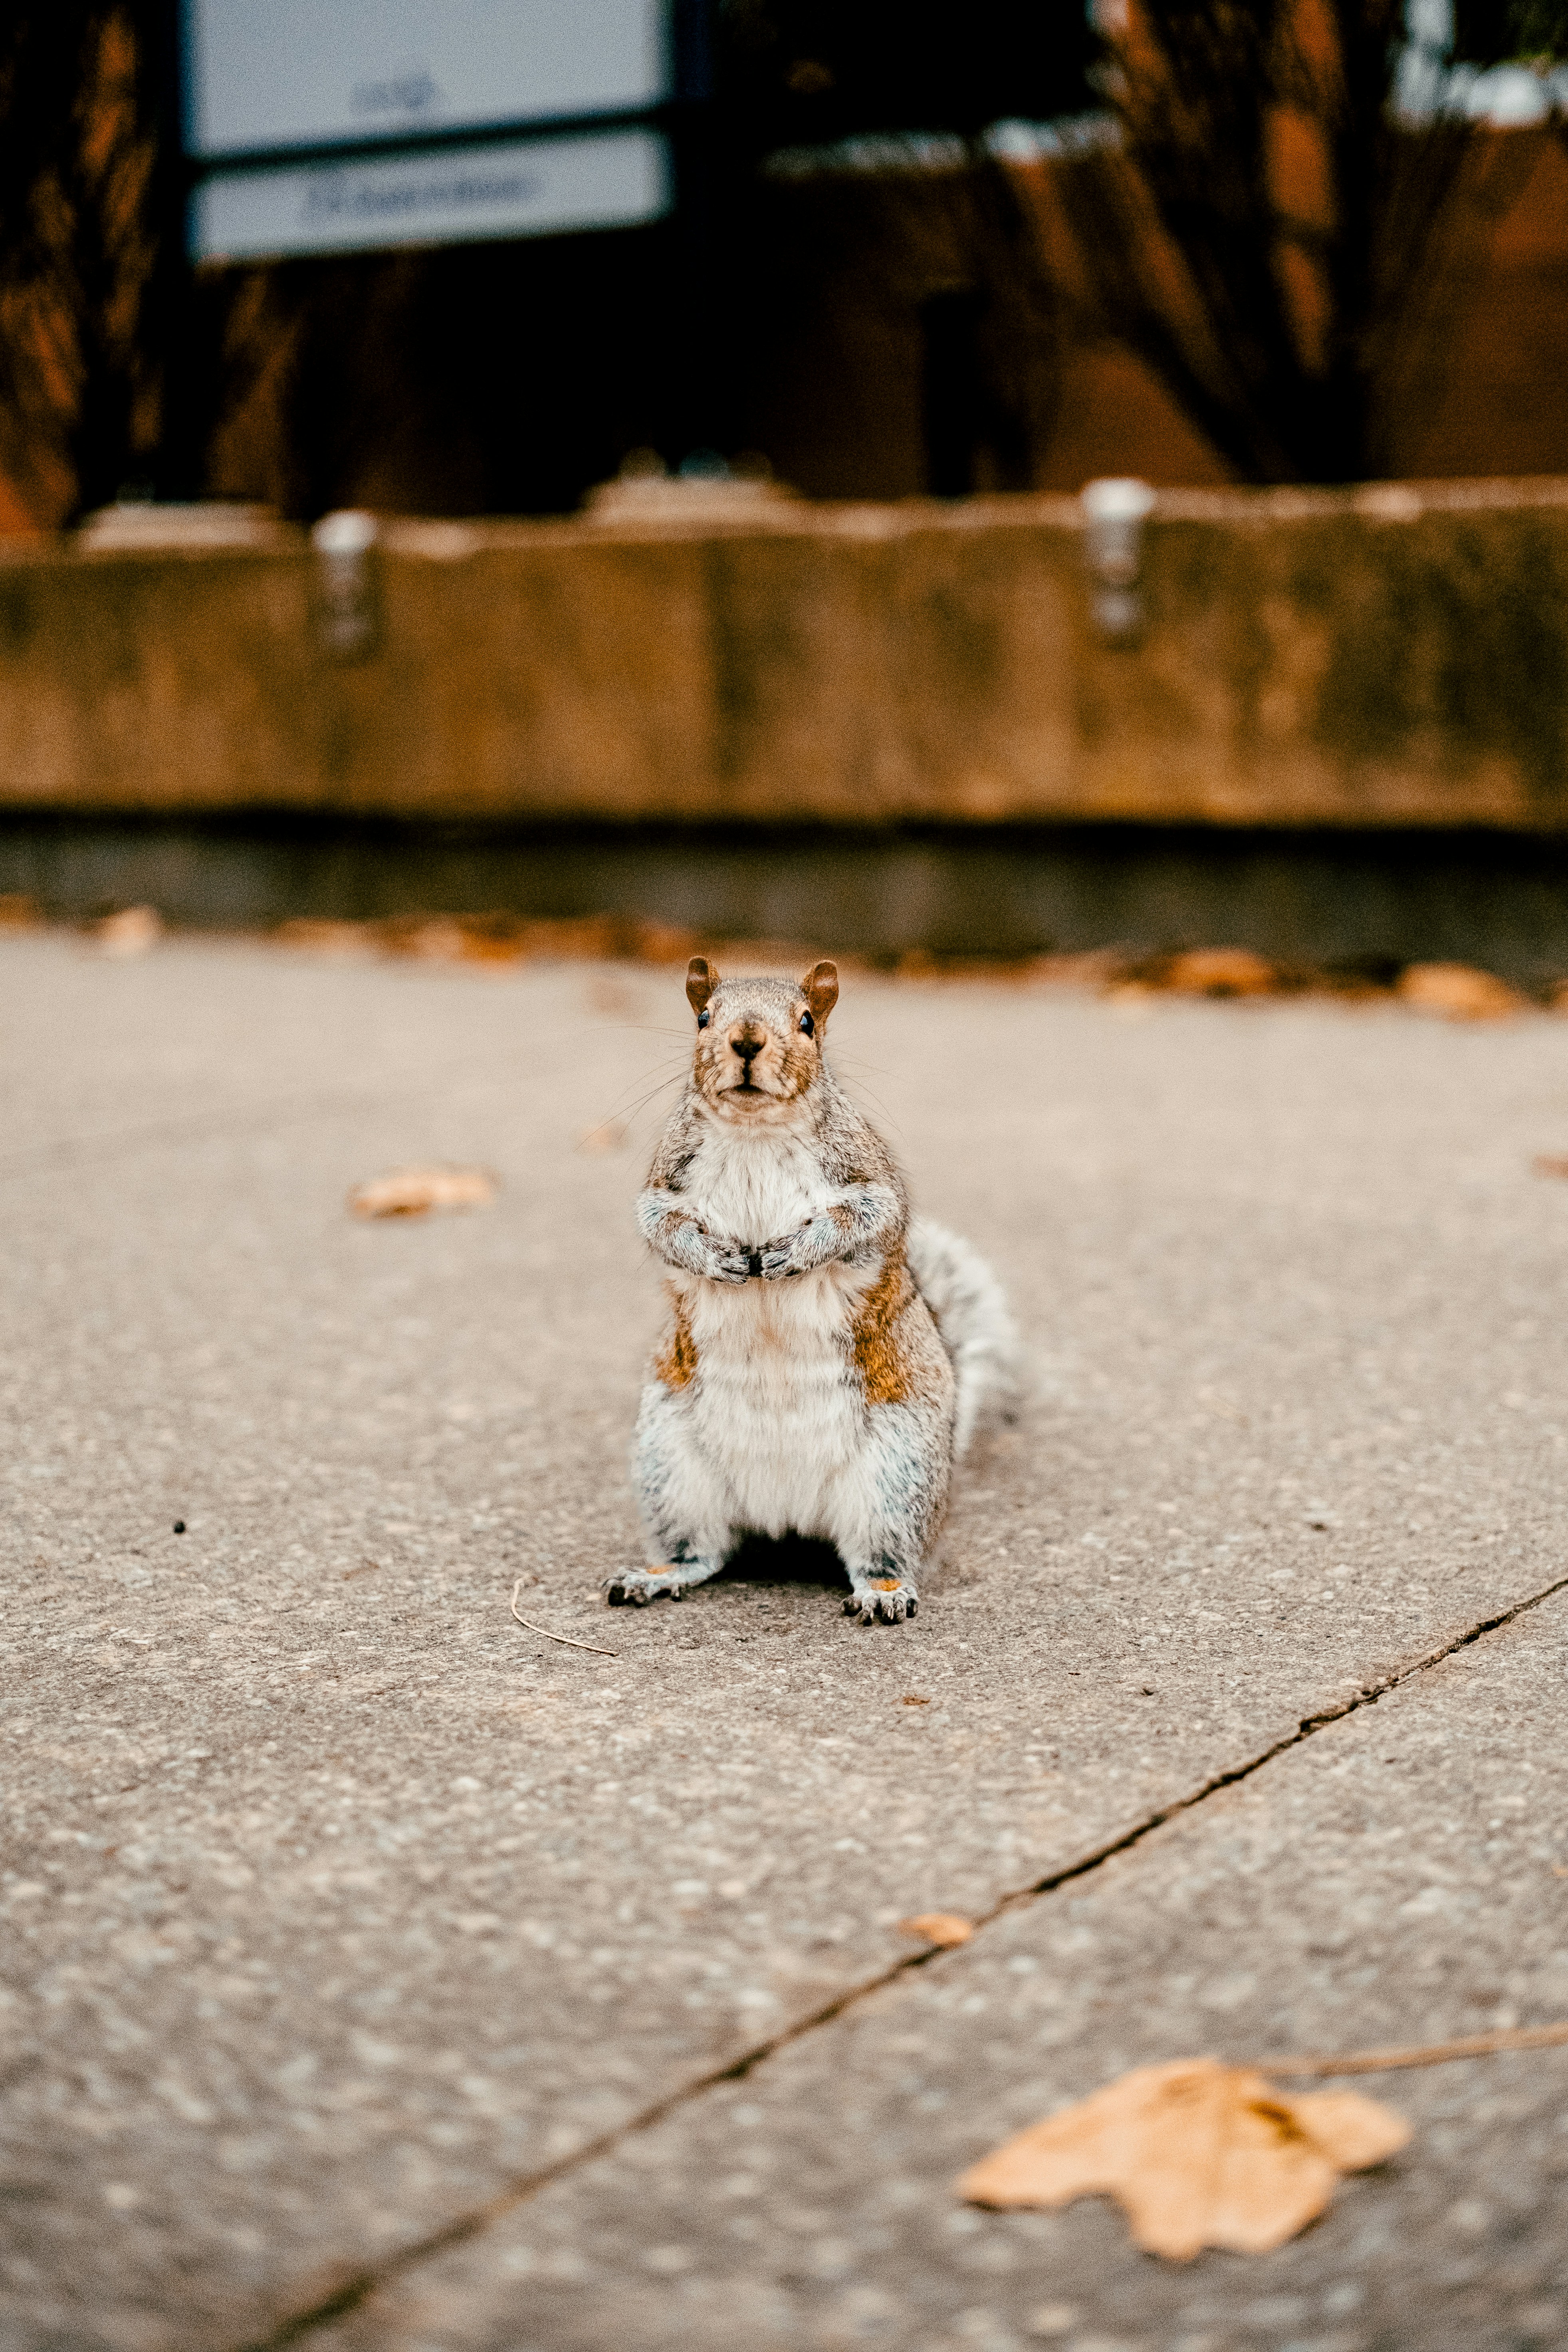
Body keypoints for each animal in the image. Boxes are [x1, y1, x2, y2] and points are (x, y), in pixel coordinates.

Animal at [604, 955, 1020, 1624]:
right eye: (702, 1016)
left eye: (805, 1021)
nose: (746, 1041)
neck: (754, 1130)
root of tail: (786, 1516)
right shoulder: (664, 1184)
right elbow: (660, 1226)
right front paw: (715, 1257)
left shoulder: (868, 1178)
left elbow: (866, 1220)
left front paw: (796, 1251)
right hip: (670, 1466)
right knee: (701, 1551)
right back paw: (656, 1574)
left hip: (894, 1477)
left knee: (881, 1554)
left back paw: (884, 1591)